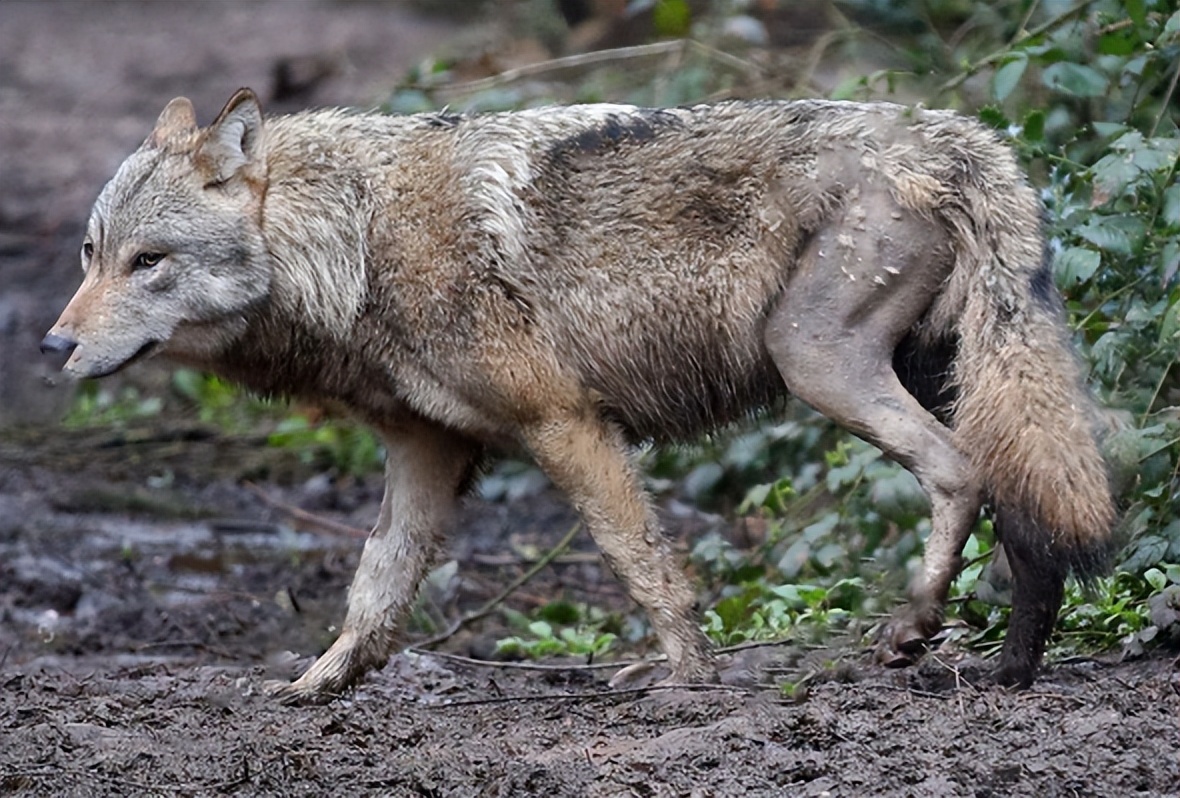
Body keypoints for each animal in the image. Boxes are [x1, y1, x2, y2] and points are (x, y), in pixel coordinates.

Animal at [43, 85, 1113, 698]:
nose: (55, 343)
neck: (353, 242)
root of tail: (954, 134)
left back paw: (913, 630)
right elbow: (374, 590)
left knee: (961, 474)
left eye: (149, 262)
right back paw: (1012, 672)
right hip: (942, 375)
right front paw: (314, 687)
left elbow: (641, 561)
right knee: (1022, 509)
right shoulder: (424, 453)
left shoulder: (565, 424)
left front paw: (689, 679)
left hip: (819, 365)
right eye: (92, 255)